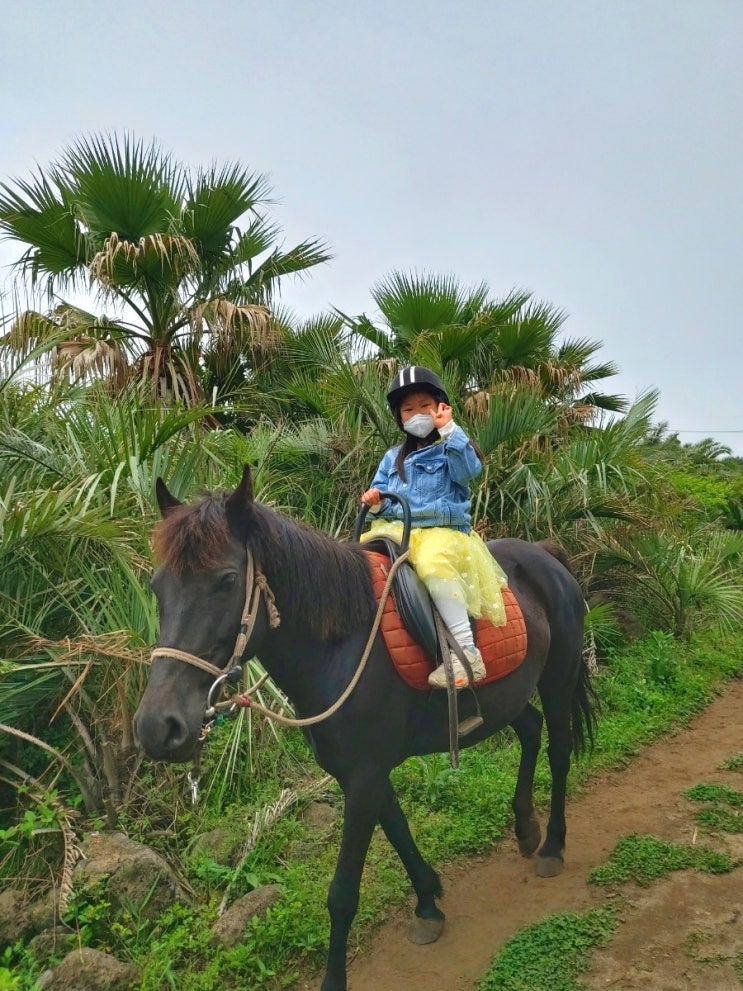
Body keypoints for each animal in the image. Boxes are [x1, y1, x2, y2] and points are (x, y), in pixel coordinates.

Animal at [134, 466, 600, 991]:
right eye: (157, 586)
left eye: (227, 580)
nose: (157, 726)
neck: (341, 644)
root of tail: (545, 553)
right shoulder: (360, 772)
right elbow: (396, 828)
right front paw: (428, 902)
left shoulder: (363, 775)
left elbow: (342, 892)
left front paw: (335, 978)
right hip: (507, 697)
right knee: (531, 729)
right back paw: (524, 826)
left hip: (557, 679)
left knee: (559, 751)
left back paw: (552, 846)